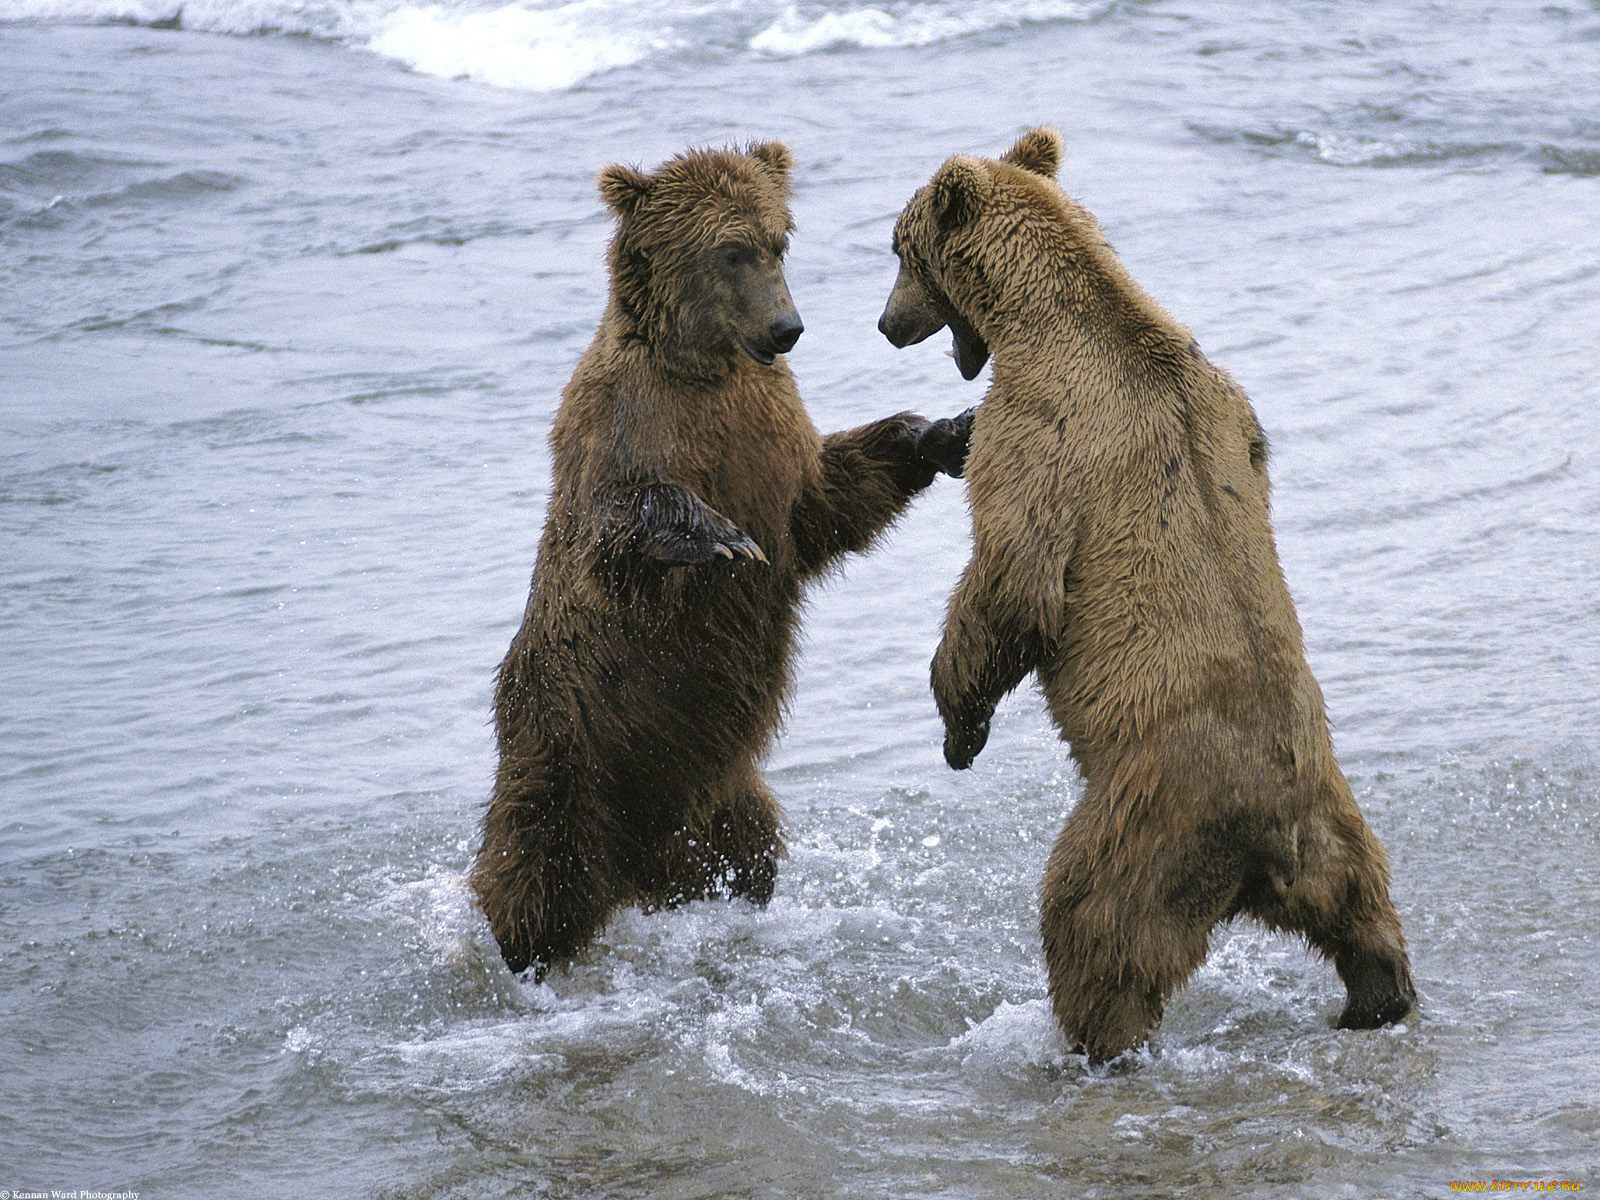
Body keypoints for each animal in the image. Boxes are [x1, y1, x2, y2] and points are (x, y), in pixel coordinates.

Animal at [467, 140, 966, 979]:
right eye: (728, 252)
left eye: (778, 241)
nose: (788, 327)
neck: (708, 367)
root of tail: (635, 873)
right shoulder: (624, 418)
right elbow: (612, 527)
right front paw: (713, 535)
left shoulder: (770, 434)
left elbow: (827, 500)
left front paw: (942, 431)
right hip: (565, 744)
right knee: (536, 871)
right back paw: (523, 951)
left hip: (719, 790)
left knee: (747, 851)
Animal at [883, 131, 1420, 1068]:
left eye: (897, 250)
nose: (885, 324)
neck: (1049, 316)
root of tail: (1270, 836)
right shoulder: (1231, 404)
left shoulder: (1041, 435)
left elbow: (1011, 583)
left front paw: (958, 729)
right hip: (1335, 820)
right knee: (1366, 907)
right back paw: (1377, 998)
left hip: (1148, 811)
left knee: (1092, 921)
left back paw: (1089, 1042)